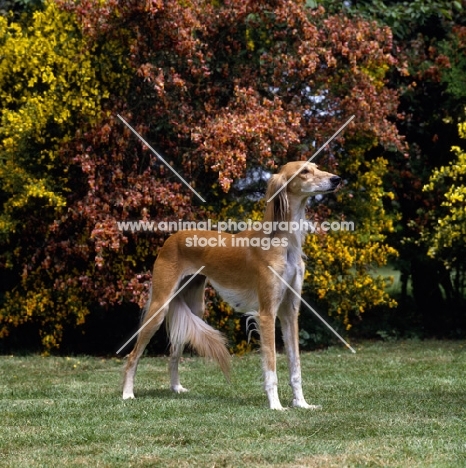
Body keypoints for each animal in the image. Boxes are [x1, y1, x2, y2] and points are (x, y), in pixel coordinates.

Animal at [123, 161, 342, 410]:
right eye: (304, 172)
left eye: (316, 167)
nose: (336, 179)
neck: (284, 241)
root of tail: (172, 237)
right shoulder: (266, 314)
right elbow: (271, 365)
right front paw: (276, 405)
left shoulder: (290, 313)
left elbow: (295, 364)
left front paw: (302, 403)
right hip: (160, 307)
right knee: (133, 356)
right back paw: (127, 393)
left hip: (194, 308)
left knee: (173, 354)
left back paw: (176, 387)